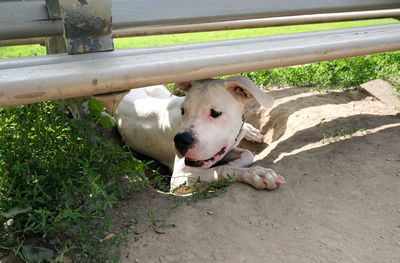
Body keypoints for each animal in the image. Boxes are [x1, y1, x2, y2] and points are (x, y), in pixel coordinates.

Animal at [96, 76, 284, 194]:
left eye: (215, 113)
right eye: (183, 111)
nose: (181, 141)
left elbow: (247, 154)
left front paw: (238, 162)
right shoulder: (179, 179)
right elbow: (221, 169)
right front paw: (255, 174)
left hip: (161, 91)